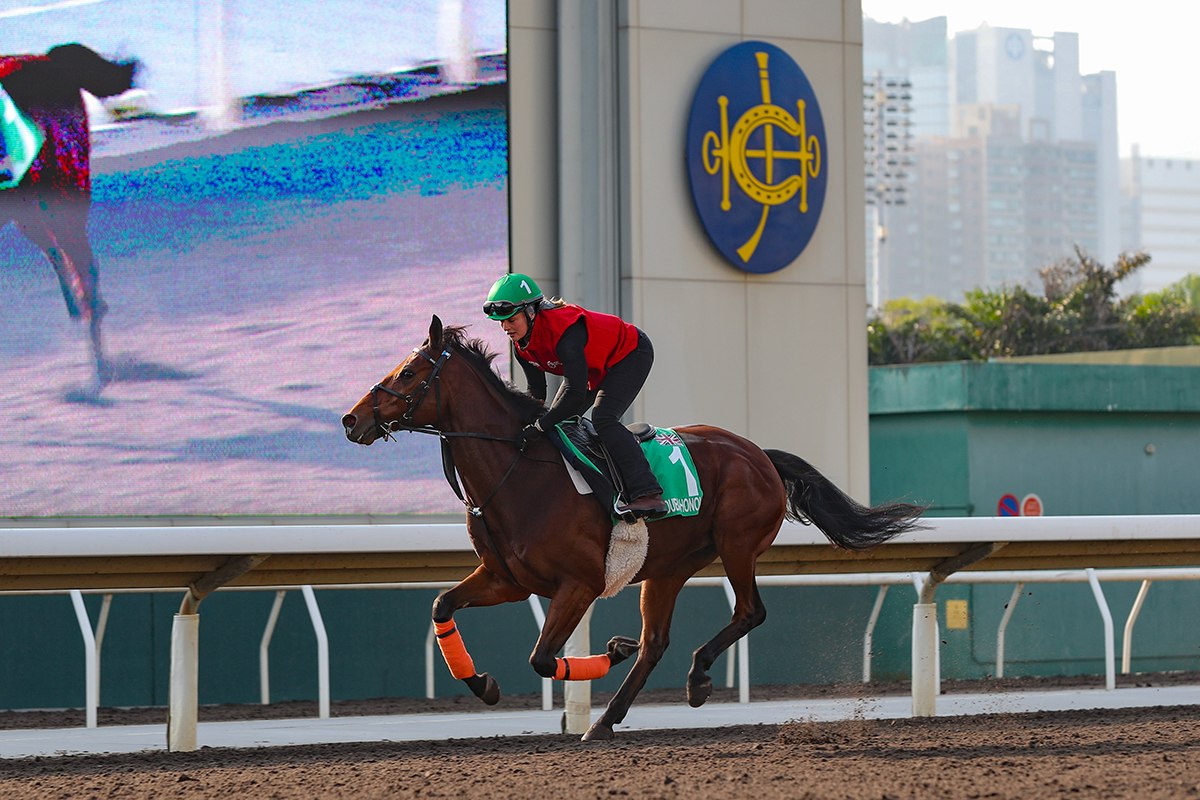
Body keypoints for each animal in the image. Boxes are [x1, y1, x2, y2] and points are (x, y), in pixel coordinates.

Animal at [1, 43, 138, 388]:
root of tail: (50, 58)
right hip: (30, 210)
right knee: (64, 258)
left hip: (64, 198)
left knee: (83, 266)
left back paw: (100, 368)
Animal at [343, 316, 921, 743]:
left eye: (411, 372)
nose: (352, 420)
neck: (520, 470)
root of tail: (757, 452)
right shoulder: (508, 580)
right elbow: (443, 605)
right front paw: (483, 684)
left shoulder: (579, 584)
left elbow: (543, 658)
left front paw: (609, 652)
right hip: (667, 568)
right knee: (656, 643)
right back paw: (605, 720)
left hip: (736, 544)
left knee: (748, 611)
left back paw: (696, 678)